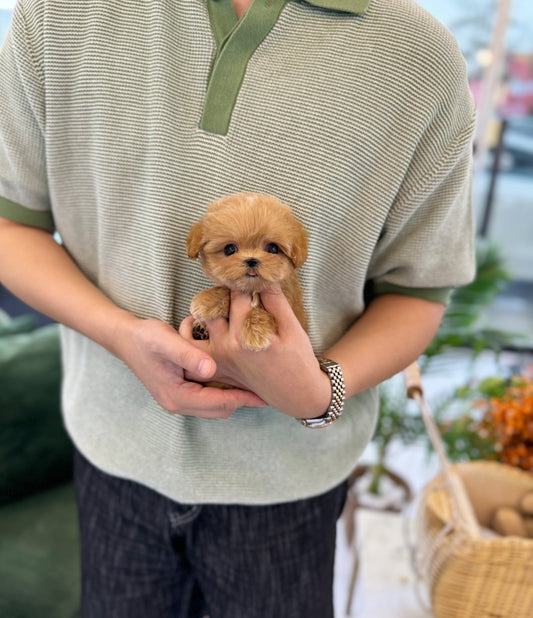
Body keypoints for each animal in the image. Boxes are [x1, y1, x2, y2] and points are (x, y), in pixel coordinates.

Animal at [186, 191, 308, 352]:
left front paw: (256, 331)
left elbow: (262, 309)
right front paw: (207, 300)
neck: (252, 289)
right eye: (229, 249)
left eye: (273, 248)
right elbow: (226, 289)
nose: (251, 260)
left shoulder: (289, 304)